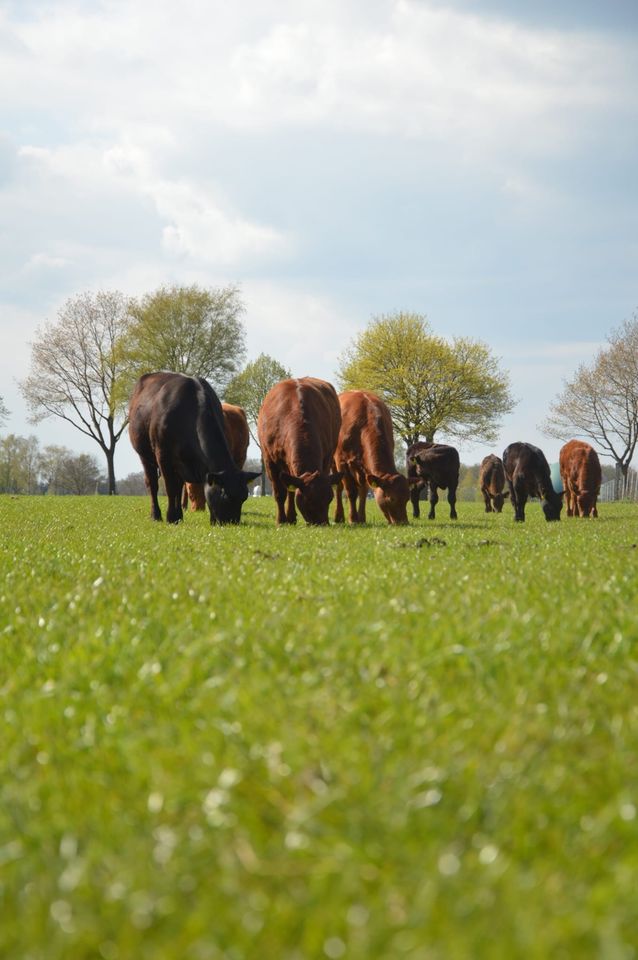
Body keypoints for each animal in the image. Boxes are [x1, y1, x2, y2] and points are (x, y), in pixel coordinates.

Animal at [127, 374, 260, 524]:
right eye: (225, 495)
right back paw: (156, 515)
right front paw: (171, 517)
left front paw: (177, 516)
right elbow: (170, 487)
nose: (232, 523)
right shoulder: (163, 456)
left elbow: (178, 488)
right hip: (145, 455)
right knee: (152, 484)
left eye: (244, 497)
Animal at [258, 376, 342, 524]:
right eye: (308, 500)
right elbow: (280, 493)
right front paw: (281, 520)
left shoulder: (326, 457)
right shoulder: (269, 461)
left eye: (329, 498)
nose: (322, 523)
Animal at [336, 390, 410, 524]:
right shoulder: (342, 461)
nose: (403, 522)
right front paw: (353, 519)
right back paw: (339, 517)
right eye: (391, 499)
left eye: (407, 498)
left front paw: (361, 518)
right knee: (338, 488)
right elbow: (351, 491)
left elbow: (363, 492)